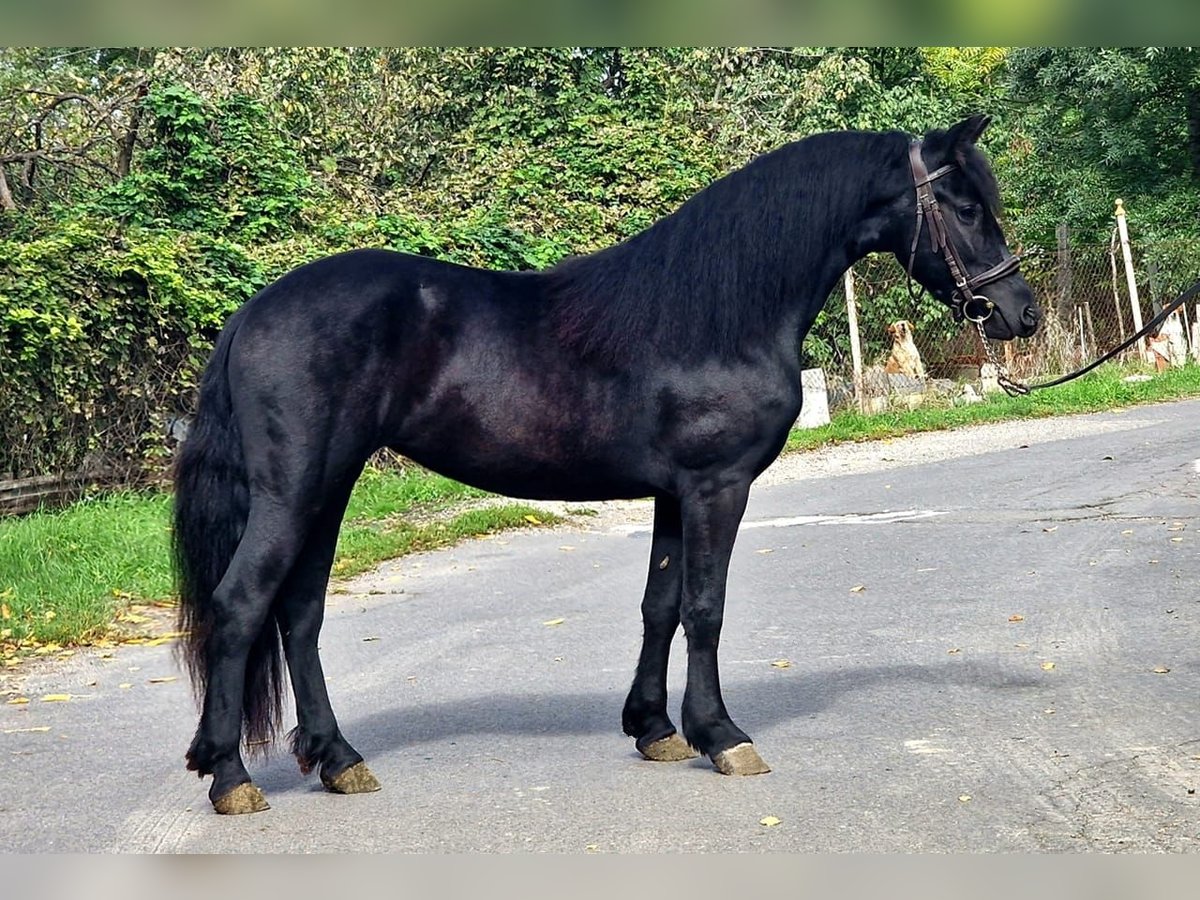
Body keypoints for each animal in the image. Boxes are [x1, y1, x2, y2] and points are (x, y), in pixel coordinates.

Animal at [175, 116, 1041, 816]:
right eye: (966, 207)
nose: (1020, 312)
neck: (723, 313)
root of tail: (251, 313)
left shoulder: (673, 494)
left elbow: (660, 605)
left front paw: (655, 729)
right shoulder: (717, 487)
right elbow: (705, 608)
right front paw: (722, 734)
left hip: (328, 489)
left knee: (300, 614)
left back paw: (338, 760)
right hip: (294, 492)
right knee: (243, 604)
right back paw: (230, 777)